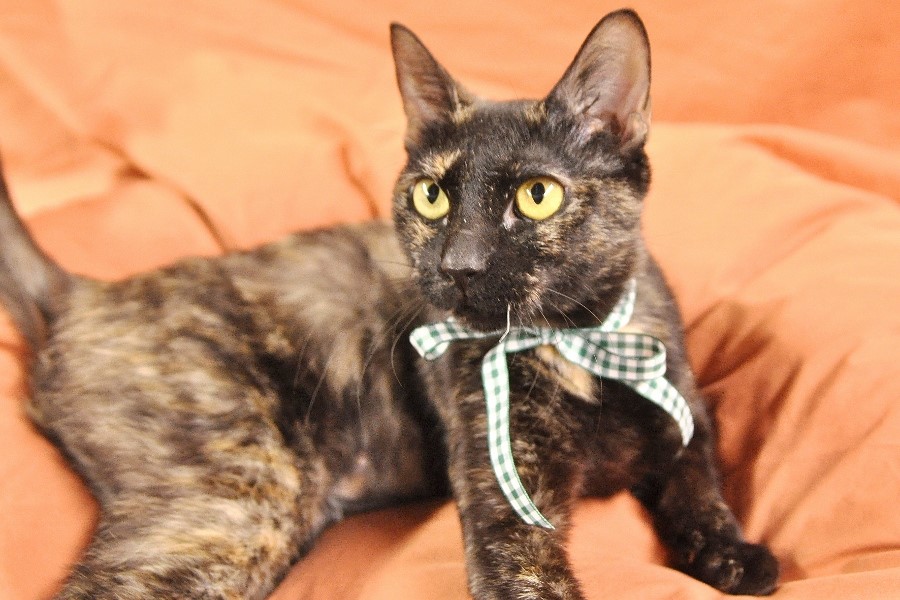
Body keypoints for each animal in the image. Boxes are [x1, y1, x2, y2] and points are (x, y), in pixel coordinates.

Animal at [0, 8, 779, 600]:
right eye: (432, 197)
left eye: (537, 195)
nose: (458, 264)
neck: (576, 343)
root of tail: (81, 292)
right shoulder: (506, 505)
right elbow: (535, 582)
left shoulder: (687, 413)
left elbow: (698, 483)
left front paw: (732, 554)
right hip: (241, 492)